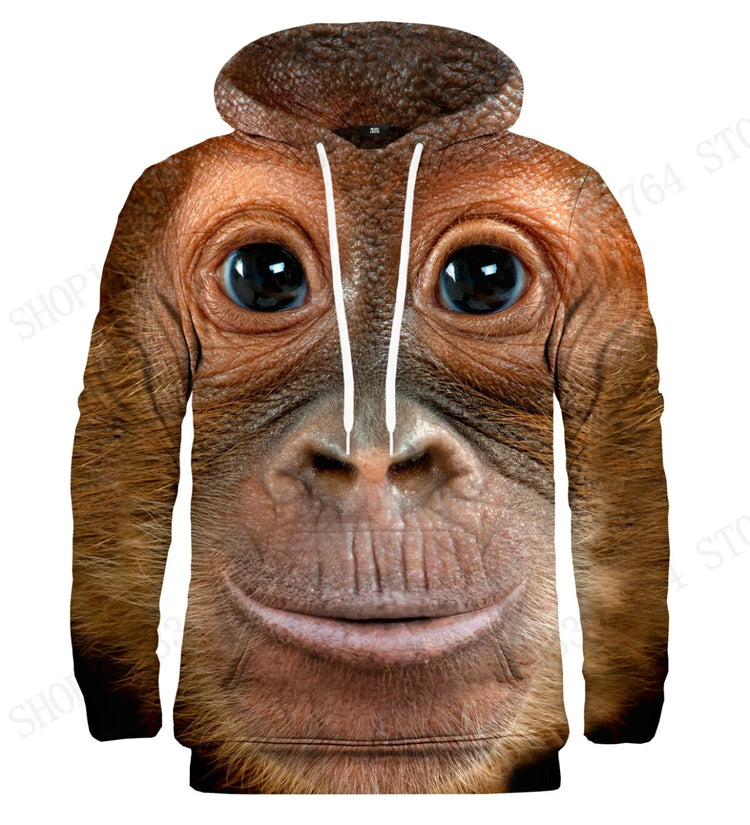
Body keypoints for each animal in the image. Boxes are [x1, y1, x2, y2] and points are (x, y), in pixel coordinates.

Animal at [70, 22, 669, 793]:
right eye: (265, 277)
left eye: (485, 279)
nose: (374, 459)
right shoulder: (145, 214)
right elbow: (125, 445)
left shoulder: (598, 215)